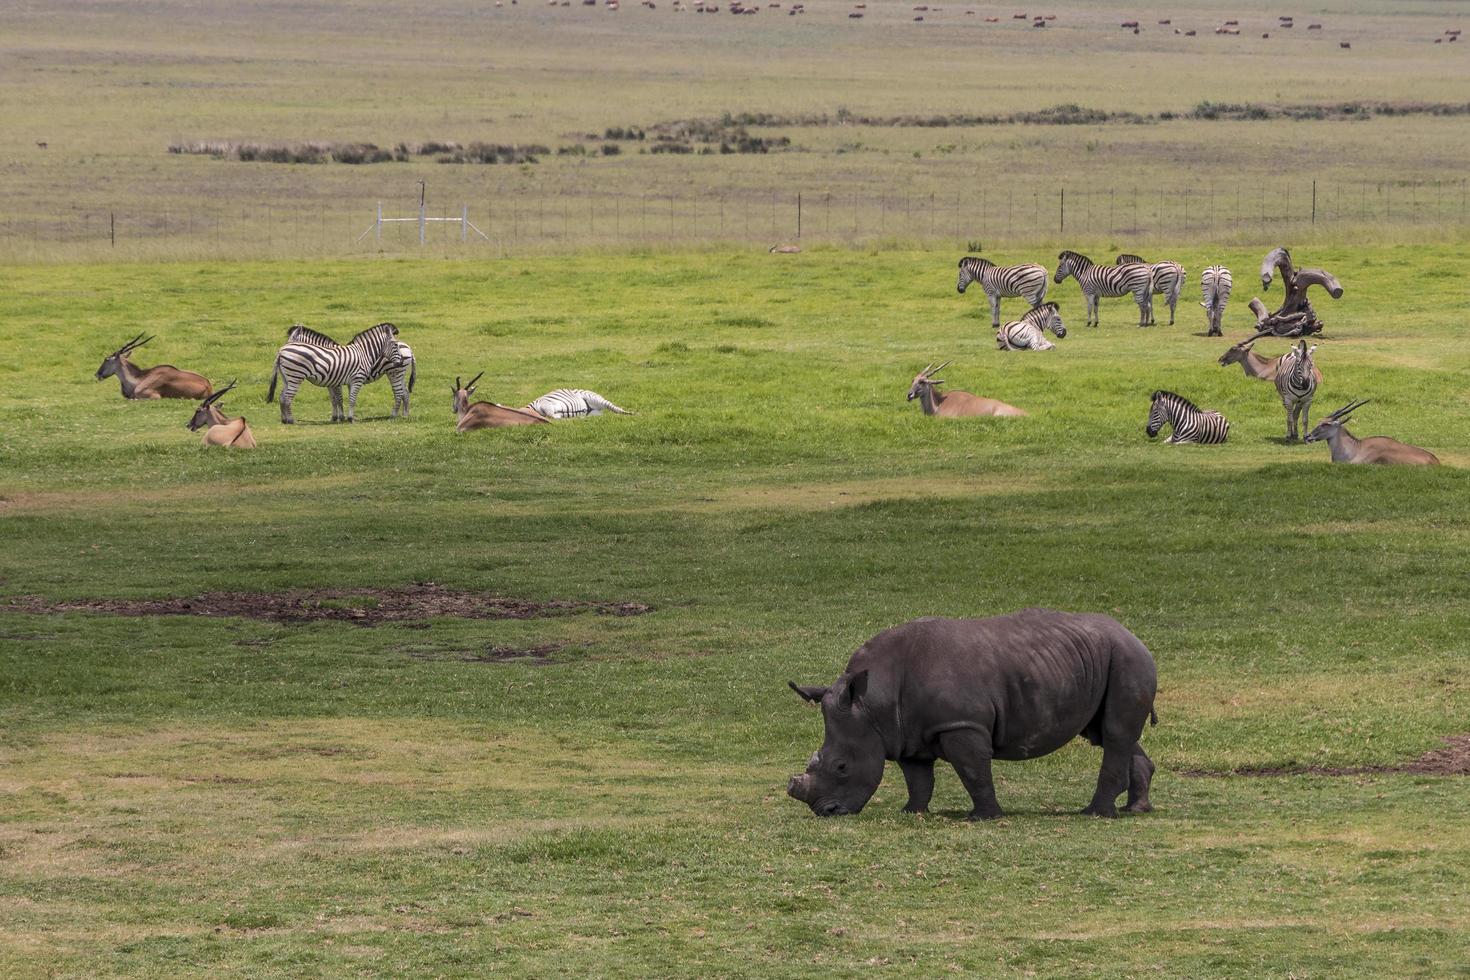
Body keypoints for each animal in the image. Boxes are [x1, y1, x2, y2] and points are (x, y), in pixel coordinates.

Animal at [264, 321, 402, 423]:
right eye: (395, 345)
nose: (400, 362)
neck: (363, 352)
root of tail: (281, 353)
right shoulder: (353, 380)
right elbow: (347, 399)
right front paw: (347, 418)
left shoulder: (337, 381)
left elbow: (338, 399)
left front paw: (340, 417)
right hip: (295, 376)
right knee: (286, 397)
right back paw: (290, 420)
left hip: (288, 377)